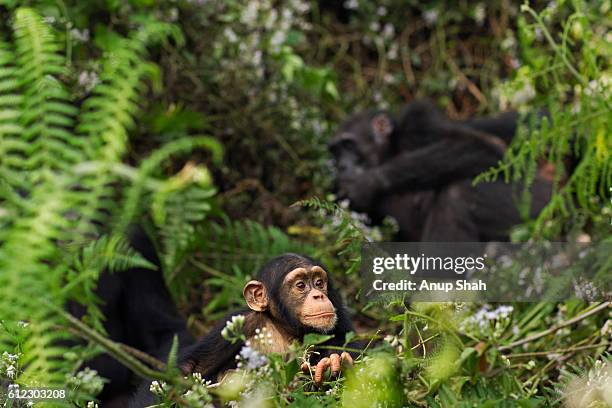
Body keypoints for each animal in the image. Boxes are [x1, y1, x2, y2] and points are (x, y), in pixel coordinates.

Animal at [131, 253, 356, 406]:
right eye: (301, 285)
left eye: (319, 282)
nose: (319, 295)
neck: (285, 329)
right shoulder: (235, 326)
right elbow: (190, 367)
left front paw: (333, 362)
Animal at [332, 100, 552, 241]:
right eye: (335, 152)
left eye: (349, 145)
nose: (341, 166)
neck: (388, 153)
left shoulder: (419, 122)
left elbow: (480, 147)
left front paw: (368, 182)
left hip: (534, 205)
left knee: (456, 196)